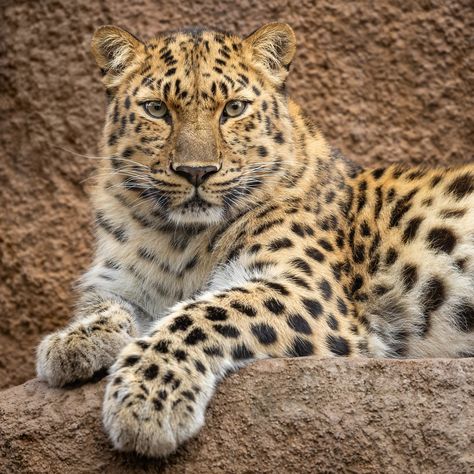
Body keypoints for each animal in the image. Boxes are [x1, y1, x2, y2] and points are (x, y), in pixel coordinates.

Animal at [34, 23, 474, 460]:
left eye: (233, 109)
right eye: (157, 109)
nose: (196, 172)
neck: (178, 239)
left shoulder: (308, 290)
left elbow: (202, 314)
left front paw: (147, 399)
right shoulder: (122, 282)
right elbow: (104, 304)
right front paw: (72, 342)